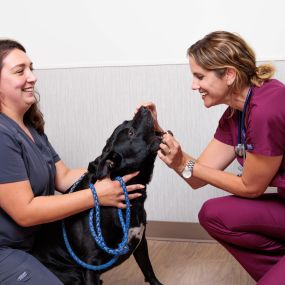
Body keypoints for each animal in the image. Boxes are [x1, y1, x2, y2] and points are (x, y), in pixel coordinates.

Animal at [31, 106, 162, 284]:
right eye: (131, 133)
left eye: (128, 123)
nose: (143, 108)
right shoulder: (91, 264)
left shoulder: (141, 242)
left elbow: (149, 270)